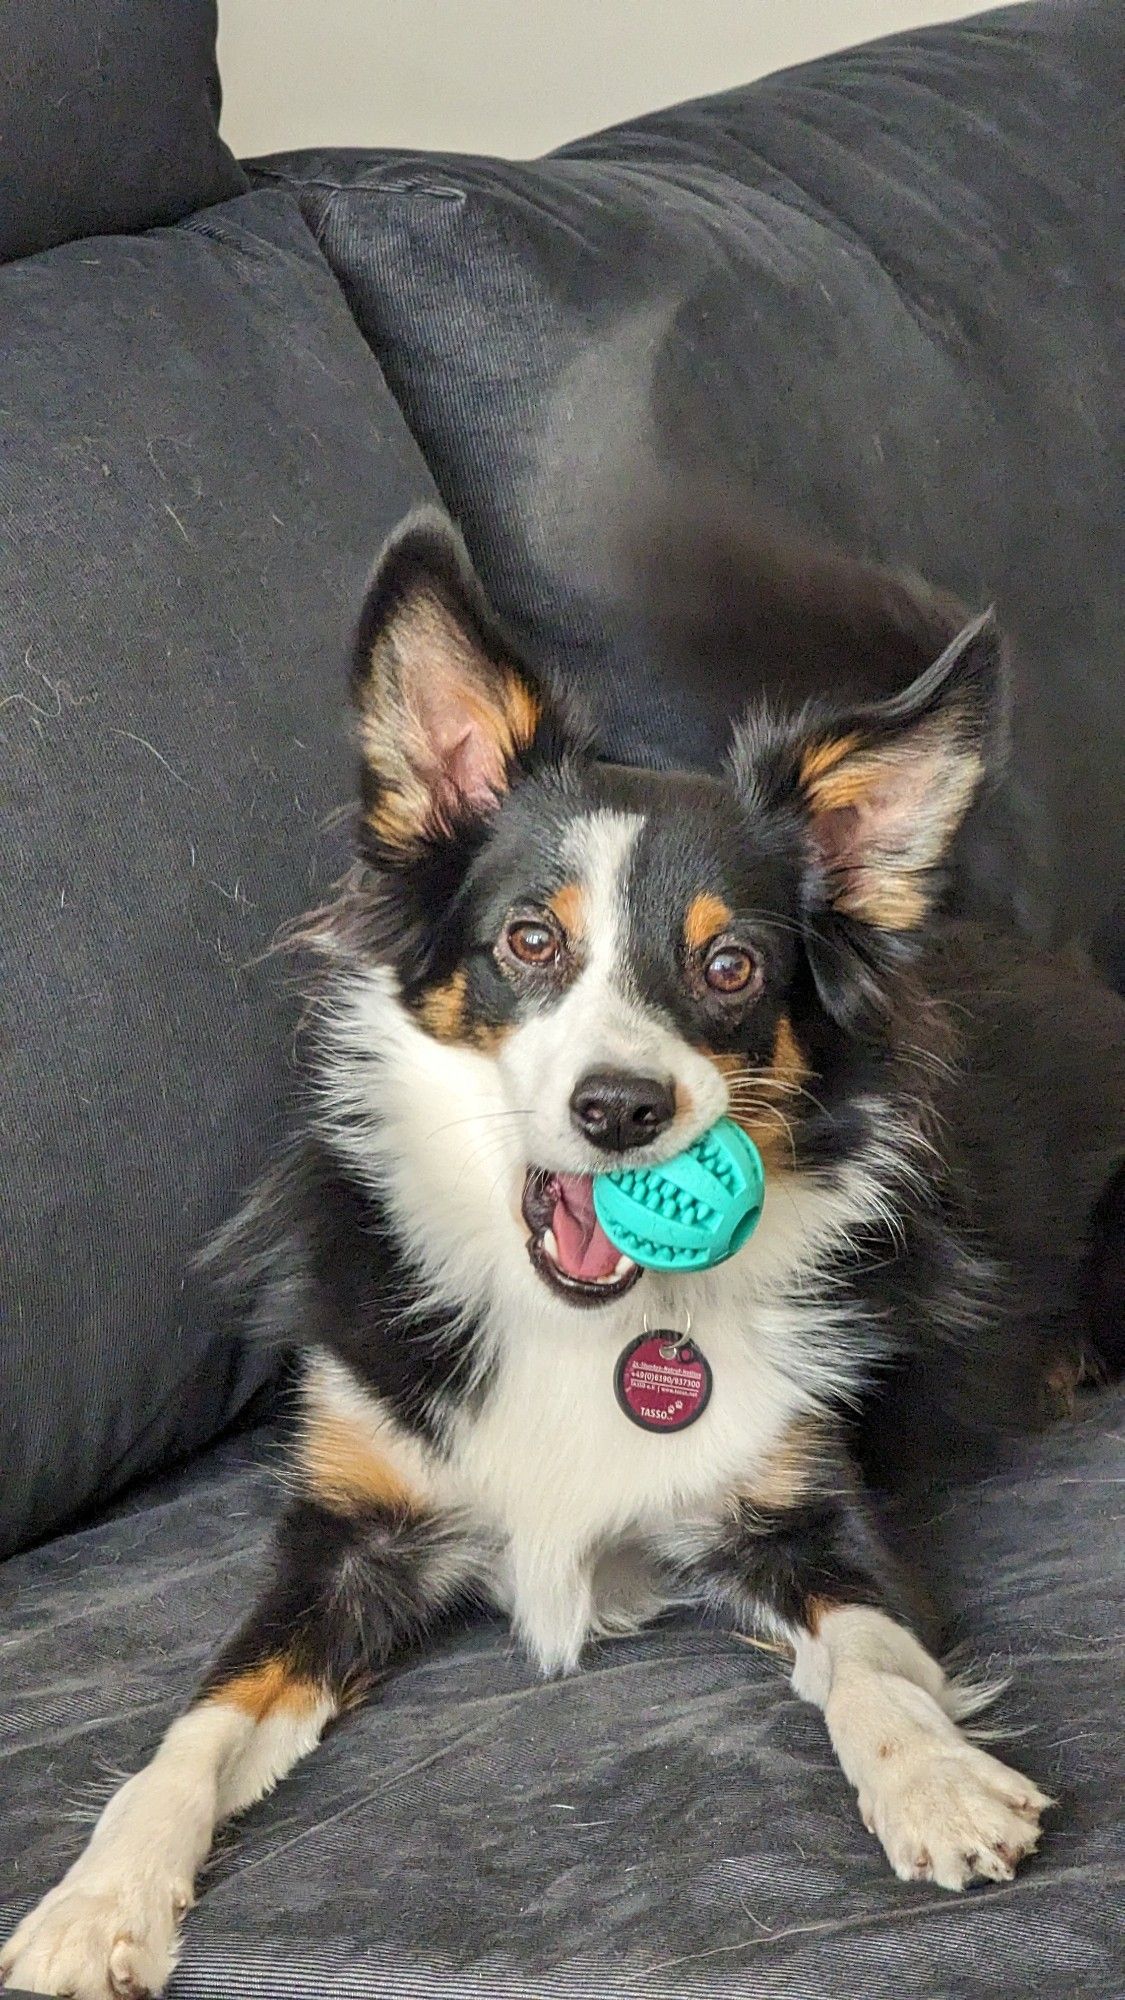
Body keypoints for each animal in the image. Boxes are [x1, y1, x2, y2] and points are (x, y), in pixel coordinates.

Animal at [4, 504, 1112, 2000]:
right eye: (530, 940)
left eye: (731, 968)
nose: (622, 1110)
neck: (583, 1323)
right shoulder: (342, 1540)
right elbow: (188, 1731)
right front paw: (96, 1899)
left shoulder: (809, 1507)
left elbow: (875, 1659)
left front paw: (935, 1780)